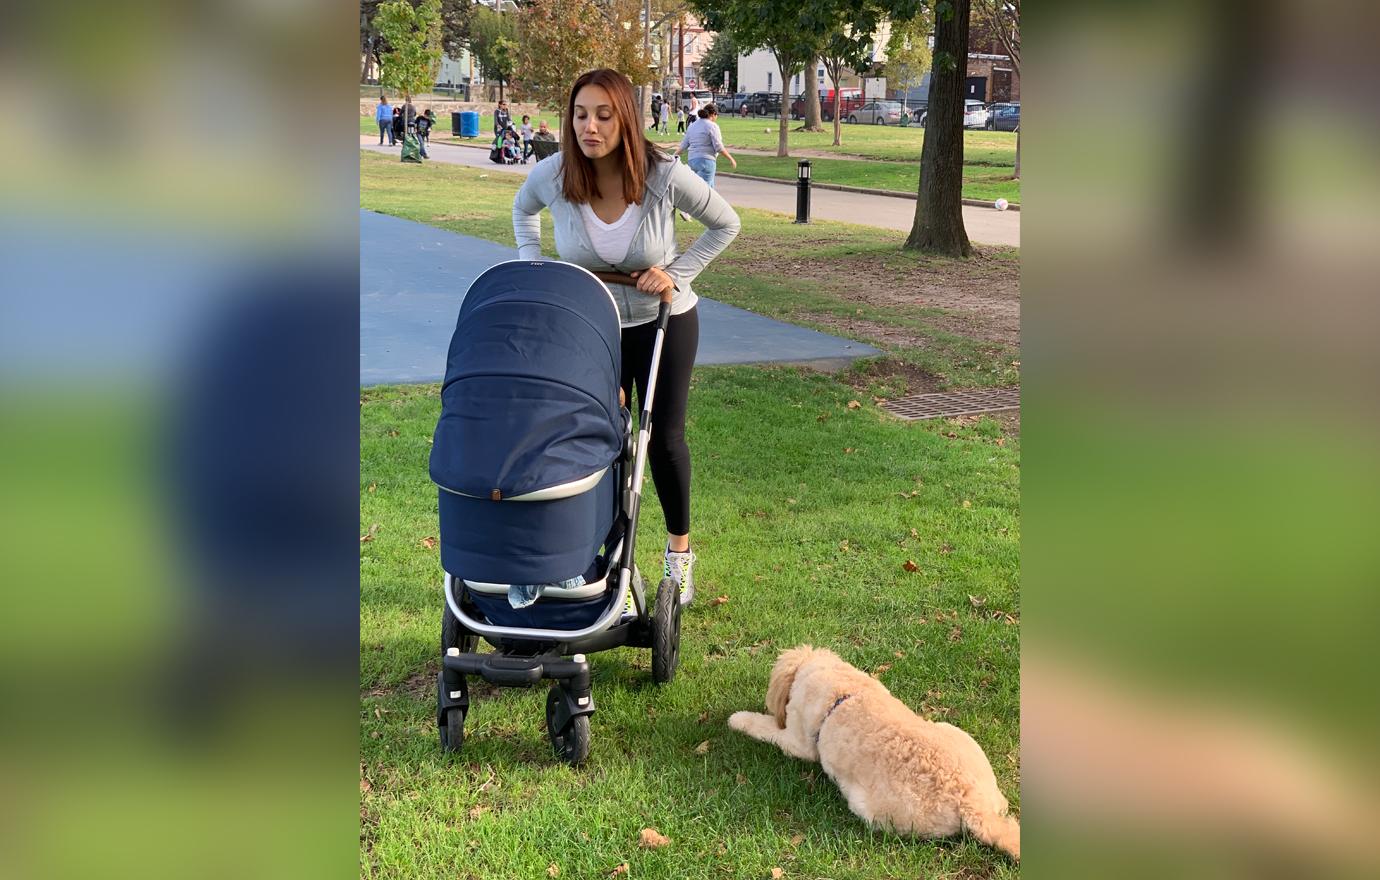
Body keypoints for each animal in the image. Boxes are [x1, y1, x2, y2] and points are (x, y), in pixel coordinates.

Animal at [728, 648, 1021, 860]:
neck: (840, 682)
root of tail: (972, 804)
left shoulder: (796, 742)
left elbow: (764, 728)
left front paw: (738, 719)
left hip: (866, 807)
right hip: (955, 733)